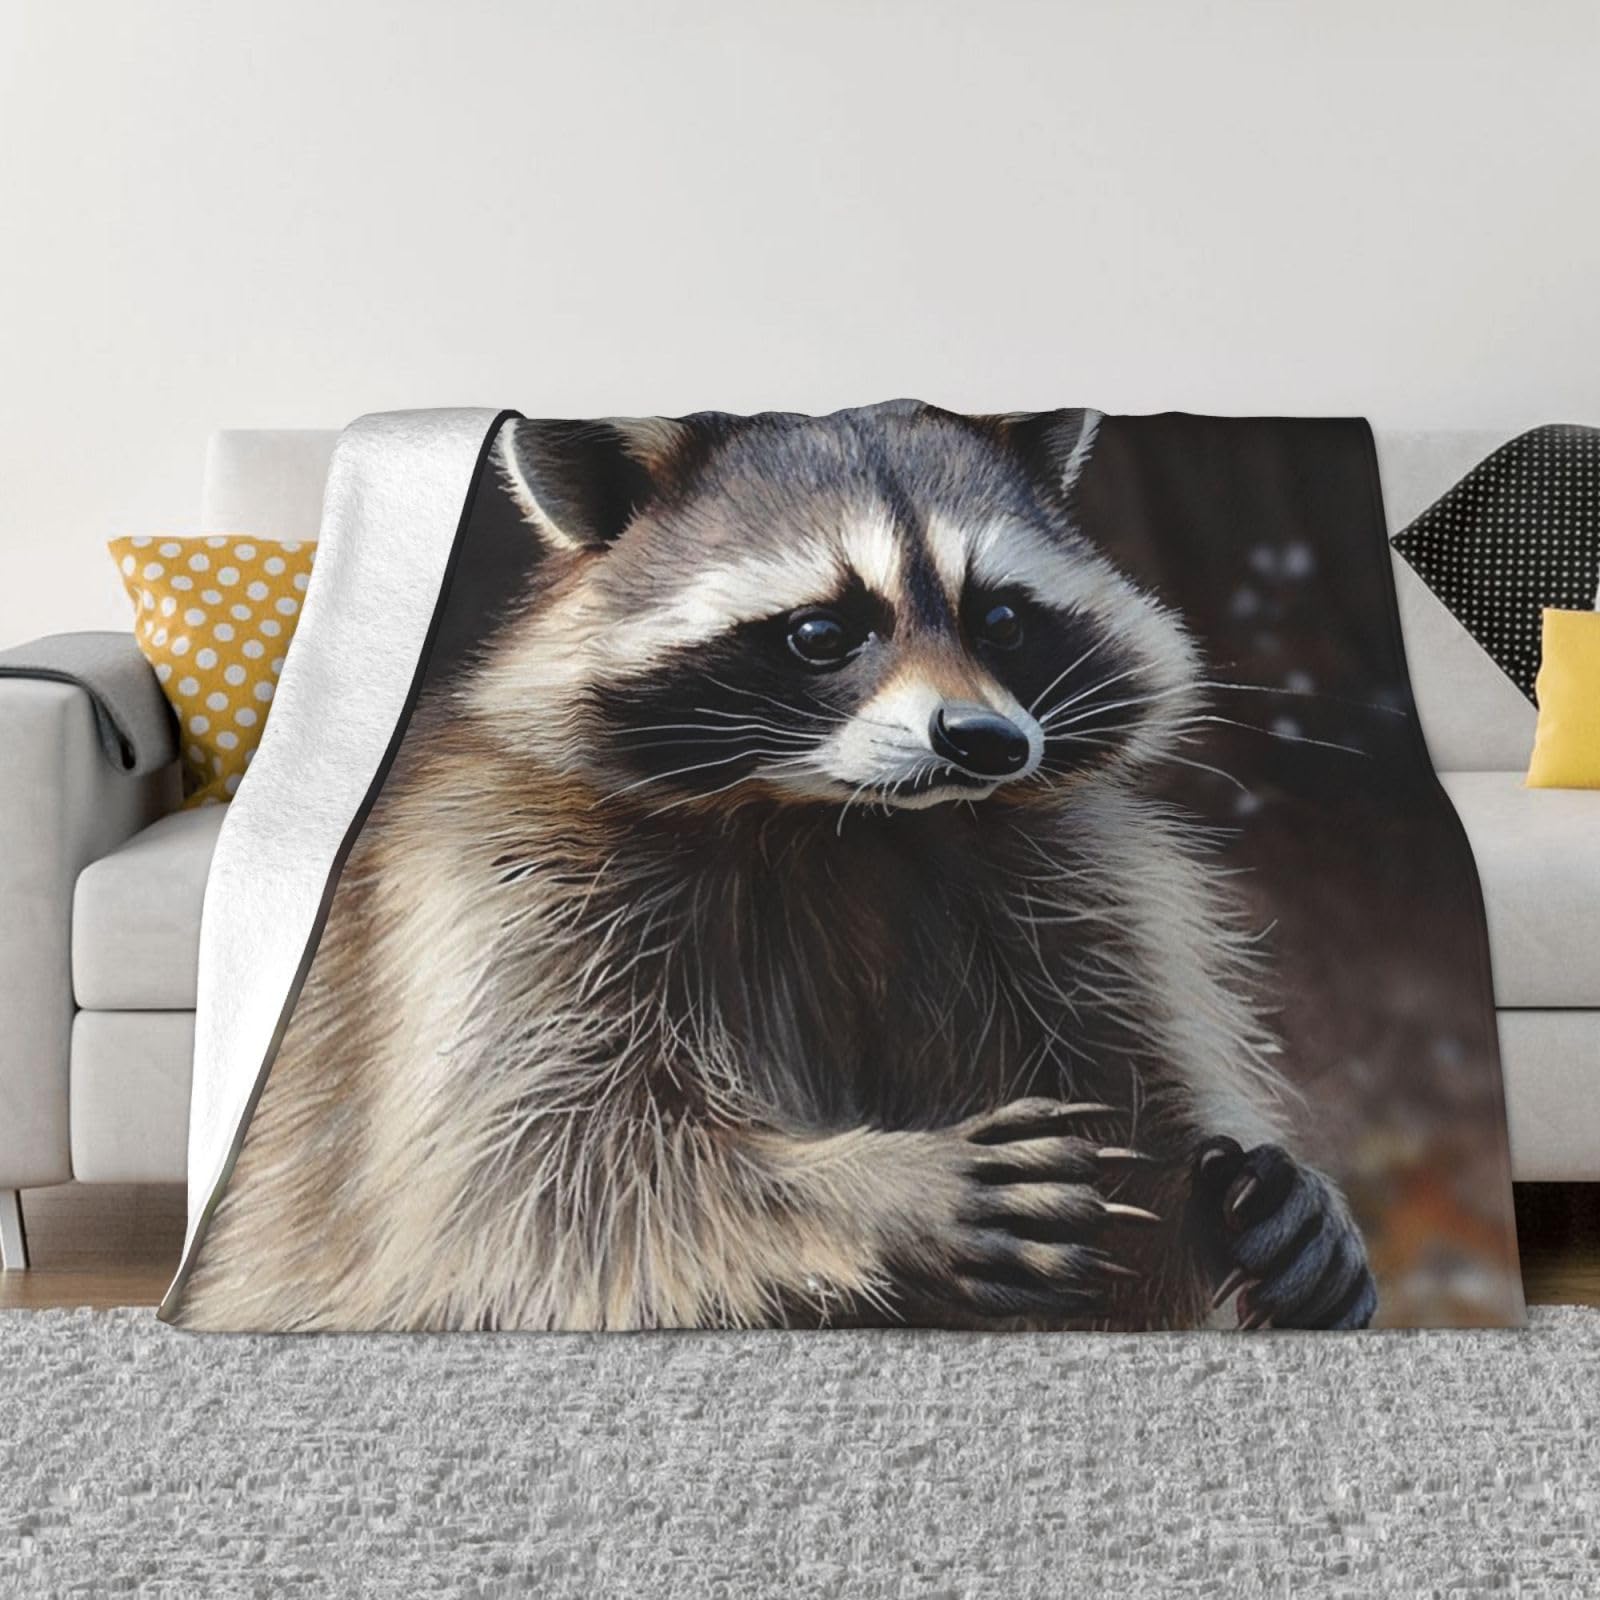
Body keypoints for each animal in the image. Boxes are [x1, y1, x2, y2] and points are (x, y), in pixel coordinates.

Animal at [174, 400, 1375, 1333]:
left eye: (999, 617)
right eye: (820, 633)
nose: (986, 743)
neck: (837, 824)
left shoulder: (1073, 882)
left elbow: (1138, 1142)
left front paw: (1260, 1199)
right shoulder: (500, 887)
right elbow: (529, 1190)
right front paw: (875, 1192)